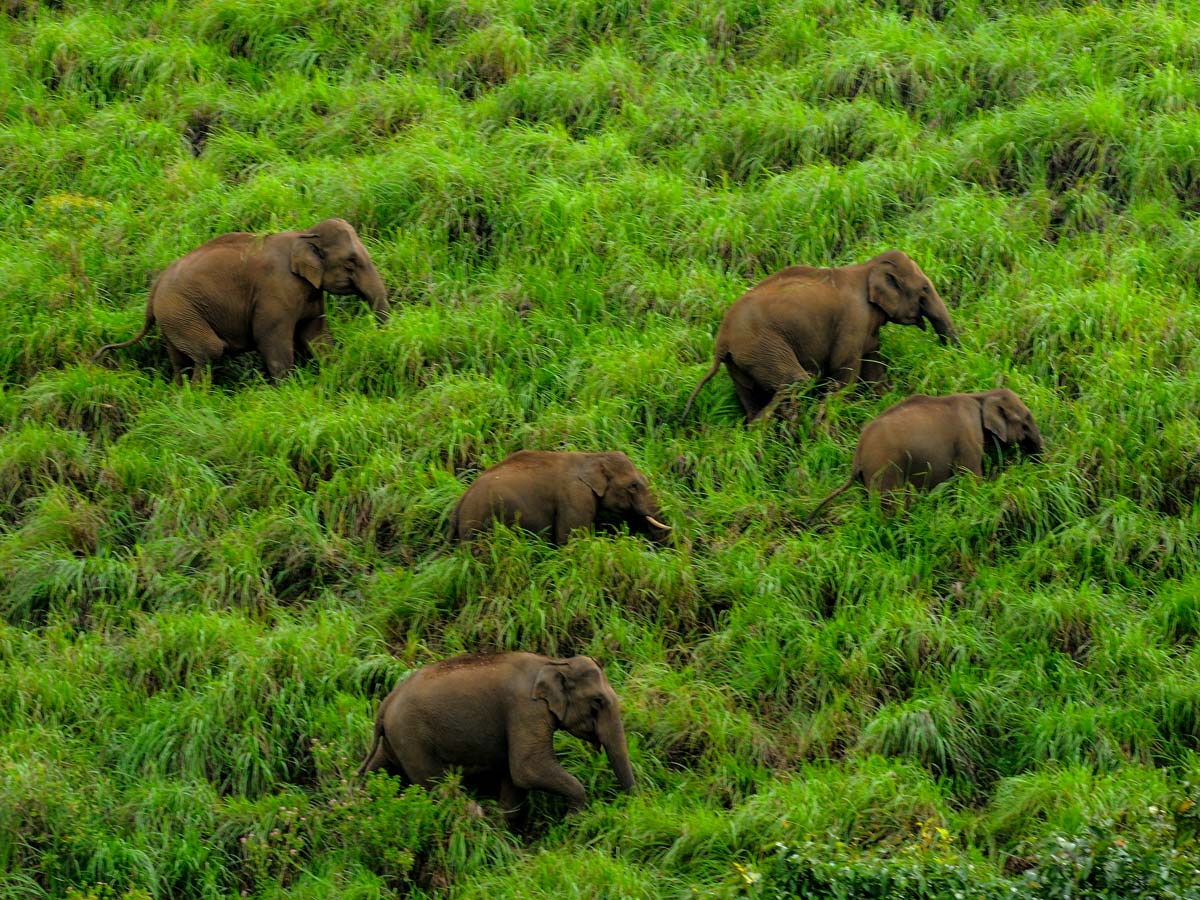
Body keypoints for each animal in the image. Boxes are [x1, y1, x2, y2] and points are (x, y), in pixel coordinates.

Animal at [97, 222, 393, 388]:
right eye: (352, 262)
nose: (379, 336)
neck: (304, 235)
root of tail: (155, 288)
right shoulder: (276, 290)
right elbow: (271, 338)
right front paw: (288, 390)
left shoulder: (309, 292)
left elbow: (316, 336)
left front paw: (331, 369)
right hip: (182, 311)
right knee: (210, 351)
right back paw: (198, 396)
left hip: (173, 317)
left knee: (181, 359)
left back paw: (181, 394)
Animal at [355, 652, 638, 820]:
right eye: (598, 701)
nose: (632, 806)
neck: (553, 661)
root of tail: (385, 703)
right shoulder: (525, 710)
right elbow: (528, 769)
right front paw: (574, 820)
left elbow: (514, 780)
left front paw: (505, 830)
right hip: (412, 739)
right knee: (436, 785)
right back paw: (475, 814)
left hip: (395, 740)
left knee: (377, 769)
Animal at [451, 453, 676, 547]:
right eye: (633, 485)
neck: (591, 456)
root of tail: (460, 501)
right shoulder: (574, 496)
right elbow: (571, 538)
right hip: (477, 522)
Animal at [686, 252, 955, 424]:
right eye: (925, 289)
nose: (948, 352)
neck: (867, 267)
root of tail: (722, 341)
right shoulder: (853, 320)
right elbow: (844, 373)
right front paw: (825, 420)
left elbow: (874, 373)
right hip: (763, 346)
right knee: (796, 381)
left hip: (740, 363)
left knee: (750, 395)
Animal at [806, 388, 1041, 520]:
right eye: (1026, 420)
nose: (1035, 462)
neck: (981, 396)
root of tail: (858, 455)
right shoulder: (968, 436)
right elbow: (971, 478)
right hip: (885, 466)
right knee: (890, 506)